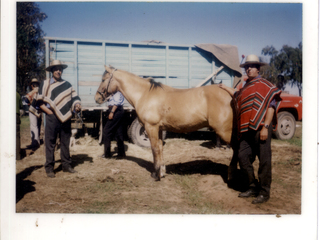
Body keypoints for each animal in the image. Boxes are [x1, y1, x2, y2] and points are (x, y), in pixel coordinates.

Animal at [94, 64, 236, 181]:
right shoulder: (160, 128)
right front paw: (161, 172)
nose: (97, 98)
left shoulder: (150, 127)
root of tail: (232, 93)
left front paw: (156, 175)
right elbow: (161, 148)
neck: (145, 94)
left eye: (103, 80)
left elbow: (154, 149)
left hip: (225, 131)